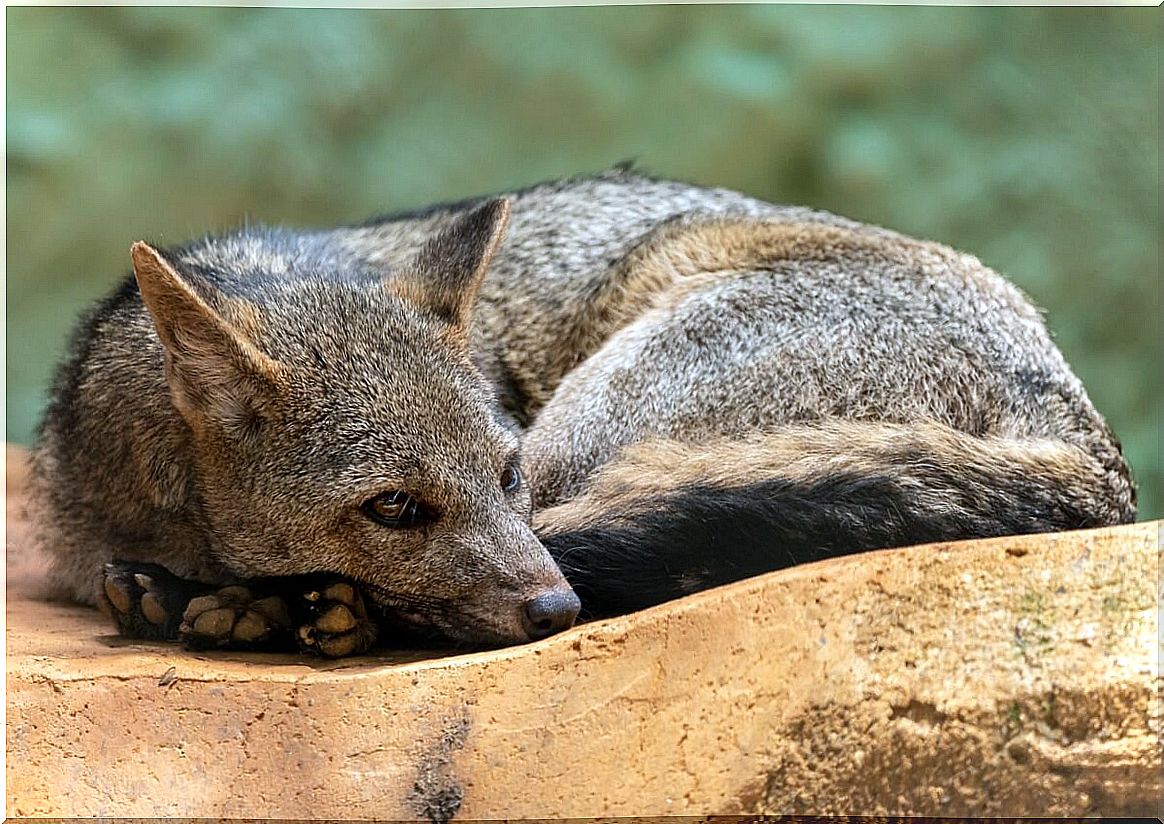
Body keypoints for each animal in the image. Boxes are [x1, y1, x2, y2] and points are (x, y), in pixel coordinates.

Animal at [29, 167, 1136, 656]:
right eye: (394, 507)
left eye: (504, 474)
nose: (552, 614)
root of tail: (1086, 426)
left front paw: (263, 601)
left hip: (602, 414)